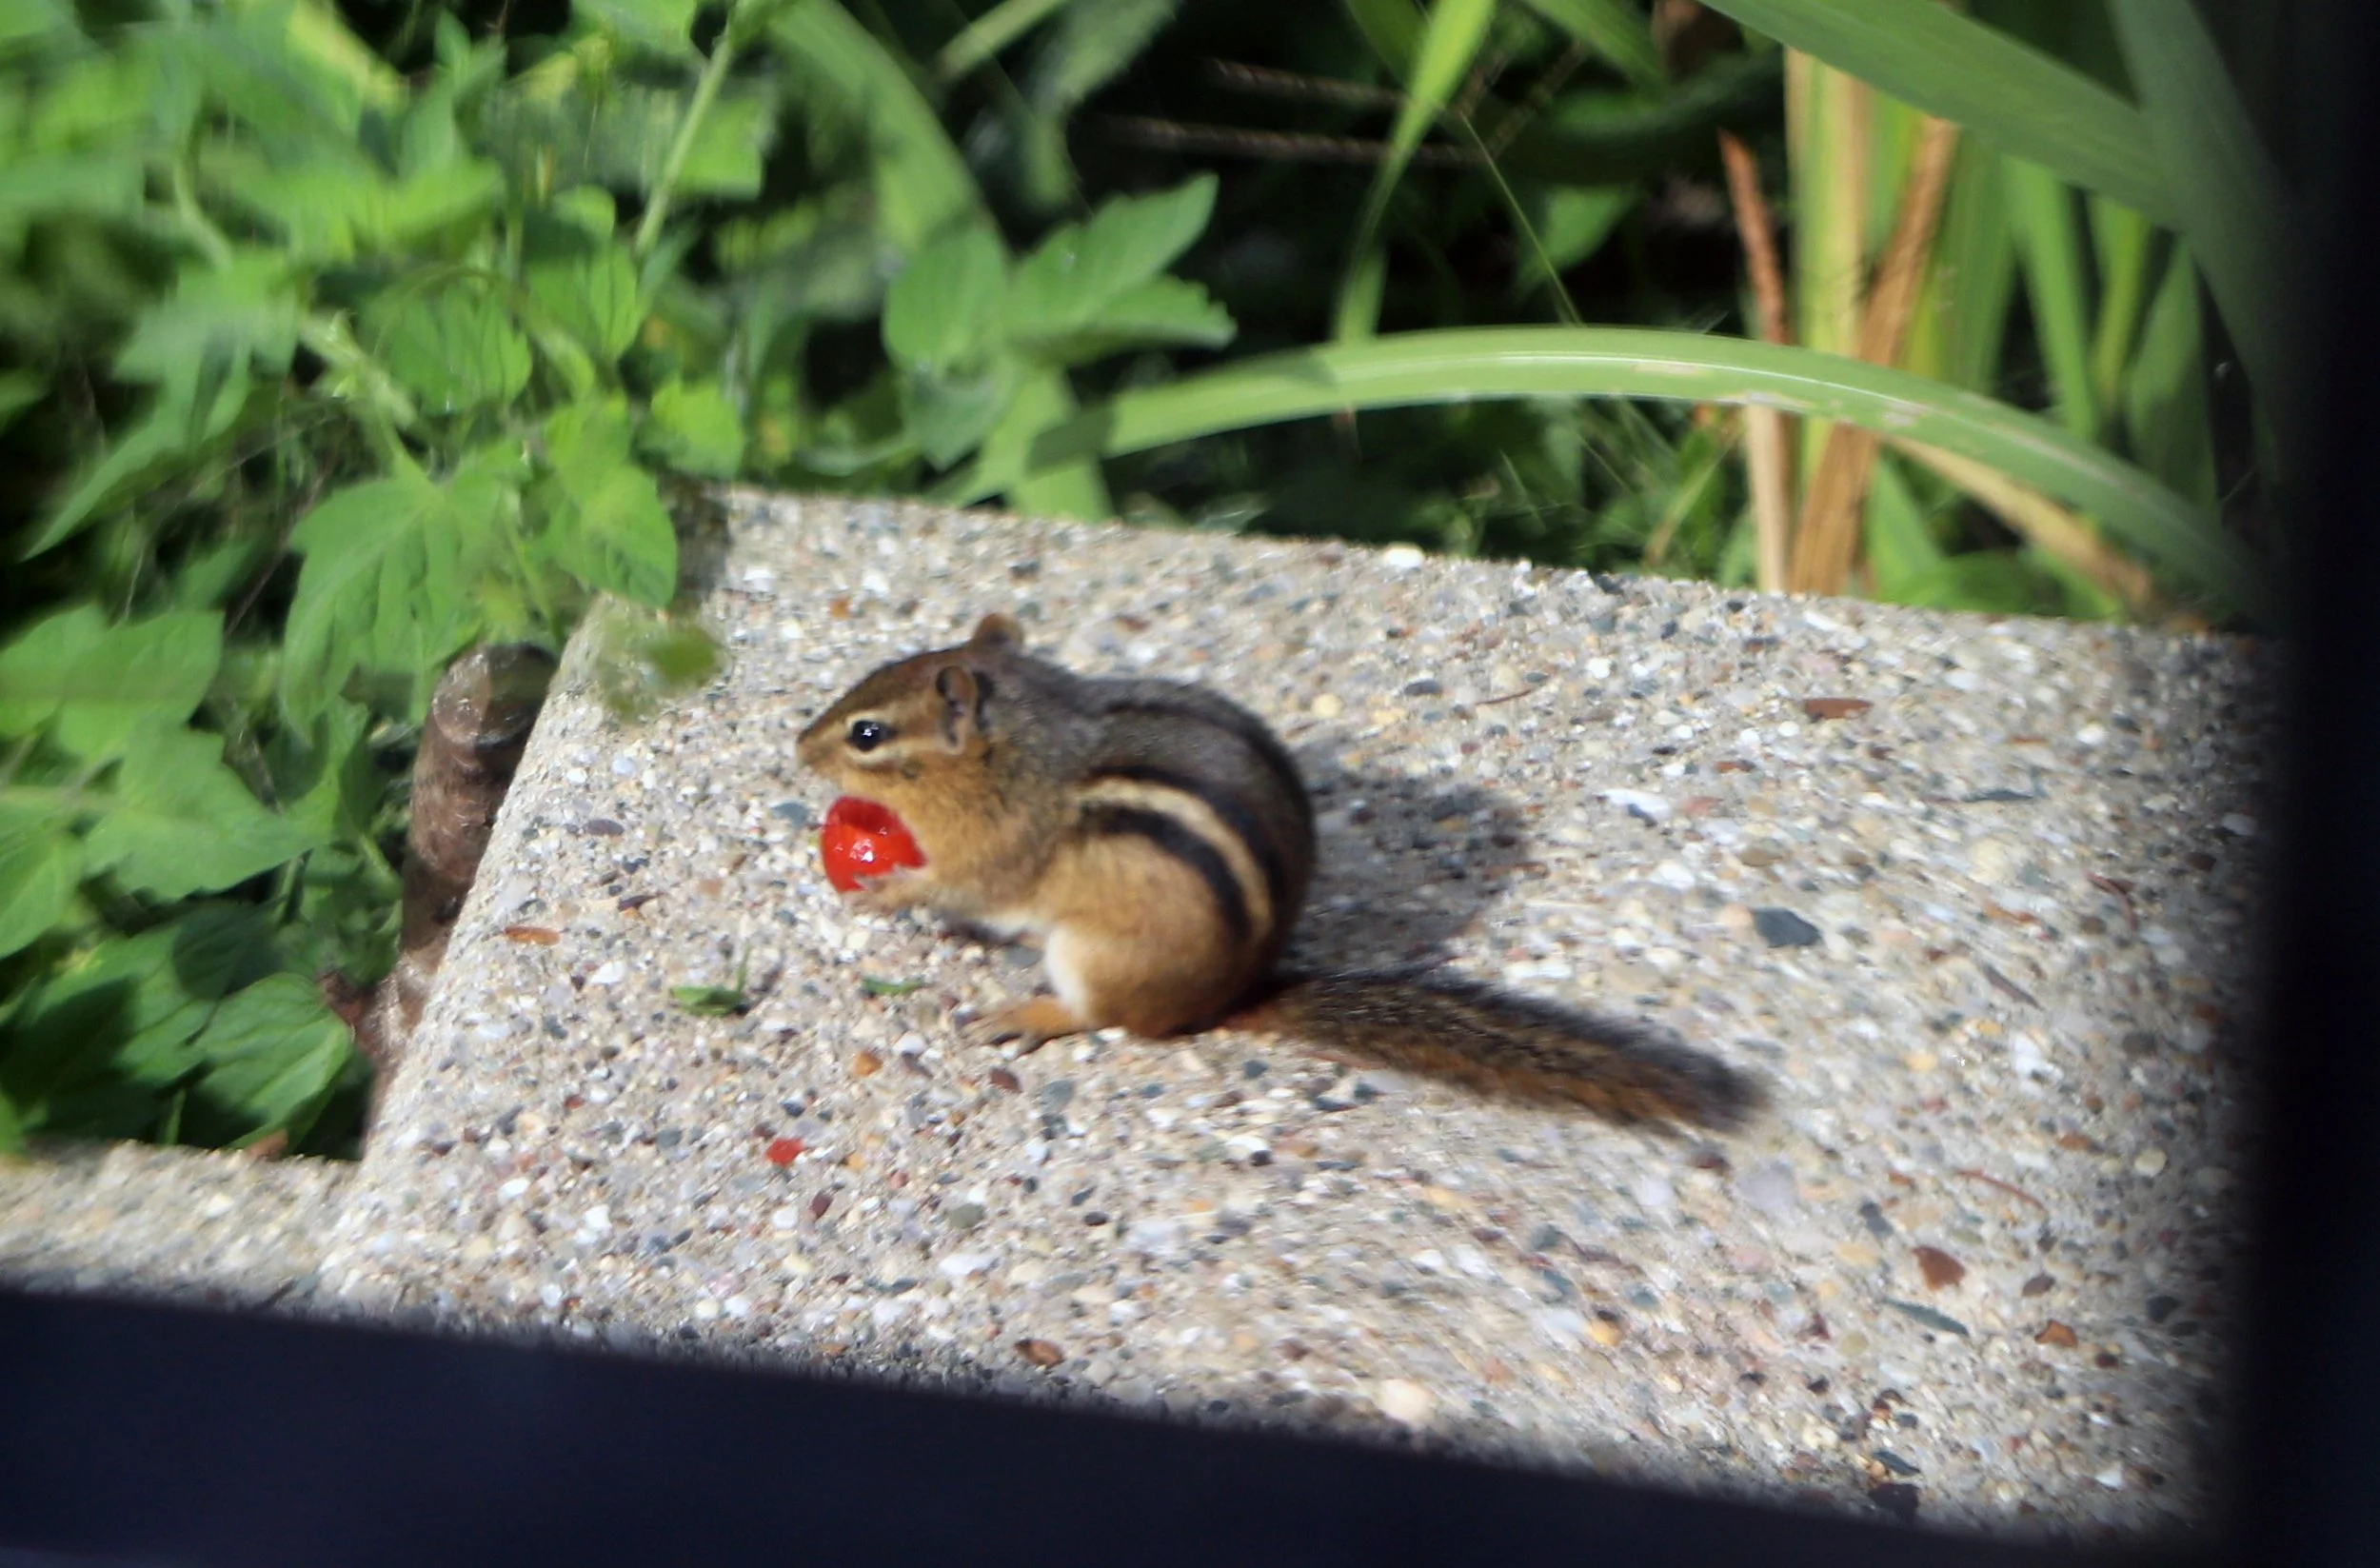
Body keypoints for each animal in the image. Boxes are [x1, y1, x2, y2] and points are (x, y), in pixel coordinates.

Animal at [796, 613, 1757, 1130]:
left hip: (1093, 954)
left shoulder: (1000, 848)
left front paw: (892, 890)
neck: (1027, 746)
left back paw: (1027, 1011)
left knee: (1101, 1015)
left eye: (867, 734)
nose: (798, 745)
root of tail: (1228, 995)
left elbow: (967, 886)